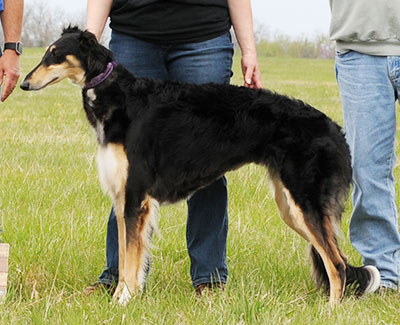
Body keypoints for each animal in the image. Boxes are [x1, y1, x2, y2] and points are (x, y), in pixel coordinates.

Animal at [20, 27, 380, 304]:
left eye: (55, 54)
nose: (23, 84)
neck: (120, 98)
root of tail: (333, 127)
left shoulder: (135, 196)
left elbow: (131, 257)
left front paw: (123, 301)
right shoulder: (124, 199)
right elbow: (125, 257)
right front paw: (126, 295)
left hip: (304, 202)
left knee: (336, 265)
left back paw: (331, 309)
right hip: (290, 206)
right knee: (337, 260)